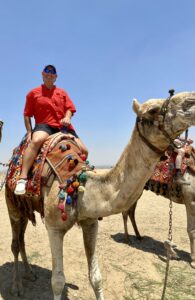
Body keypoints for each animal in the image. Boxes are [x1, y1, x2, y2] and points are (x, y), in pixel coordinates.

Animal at [4, 92, 195, 300]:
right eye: (153, 110)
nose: (192, 99)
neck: (79, 184)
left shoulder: (90, 221)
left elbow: (95, 276)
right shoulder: (54, 227)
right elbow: (57, 281)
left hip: (25, 209)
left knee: (21, 239)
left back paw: (30, 273)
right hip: (12, 206)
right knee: (15, 243)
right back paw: (16, 287)